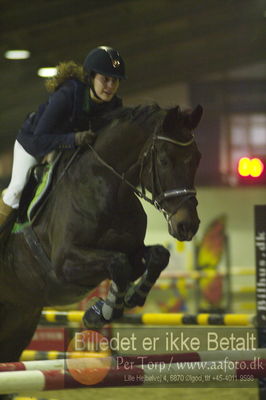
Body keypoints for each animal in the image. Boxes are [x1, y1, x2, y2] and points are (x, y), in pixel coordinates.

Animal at [0, 101, 202, 370]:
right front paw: (101, 312)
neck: (104, 186)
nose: (188, 225)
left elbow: (156, 256)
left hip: (18, 319)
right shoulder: (64, 264)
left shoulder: (132, 248)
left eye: (197, 159)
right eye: (164, 160)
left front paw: (121, 301)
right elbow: (119, 263)